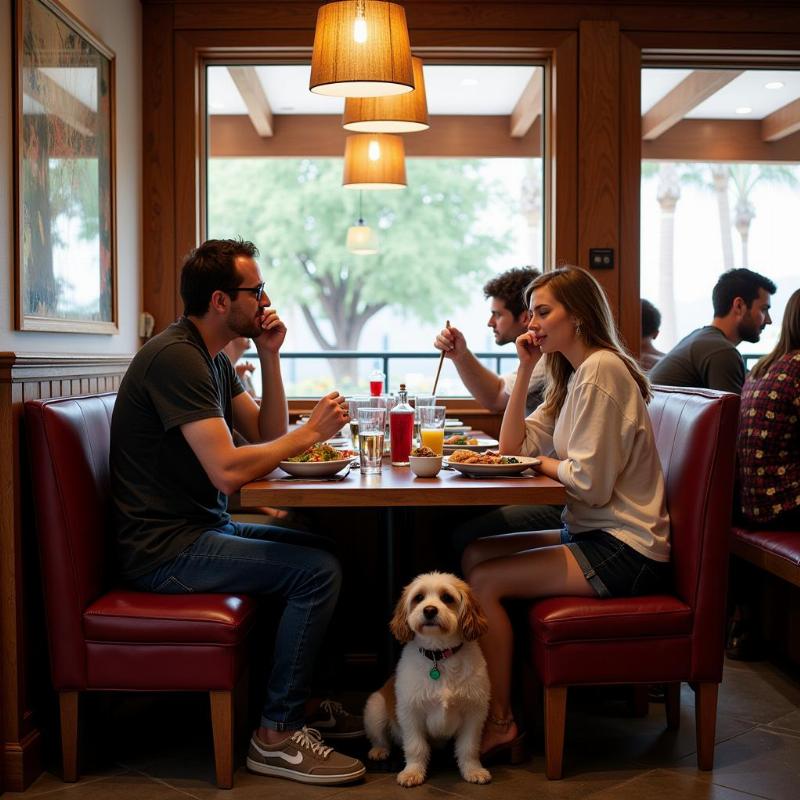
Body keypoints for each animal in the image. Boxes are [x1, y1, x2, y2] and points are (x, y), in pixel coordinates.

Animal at [364, 568, 490, 788]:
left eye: (447, 597)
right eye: (419, 597)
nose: (429, 610)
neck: (439, 655)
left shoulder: (474, 713)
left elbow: (468, 748)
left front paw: (473, 770)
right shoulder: (410, 713)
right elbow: (416, 747)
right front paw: (412, 772)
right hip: (375, 708)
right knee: (380, 737)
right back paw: (379, 750)